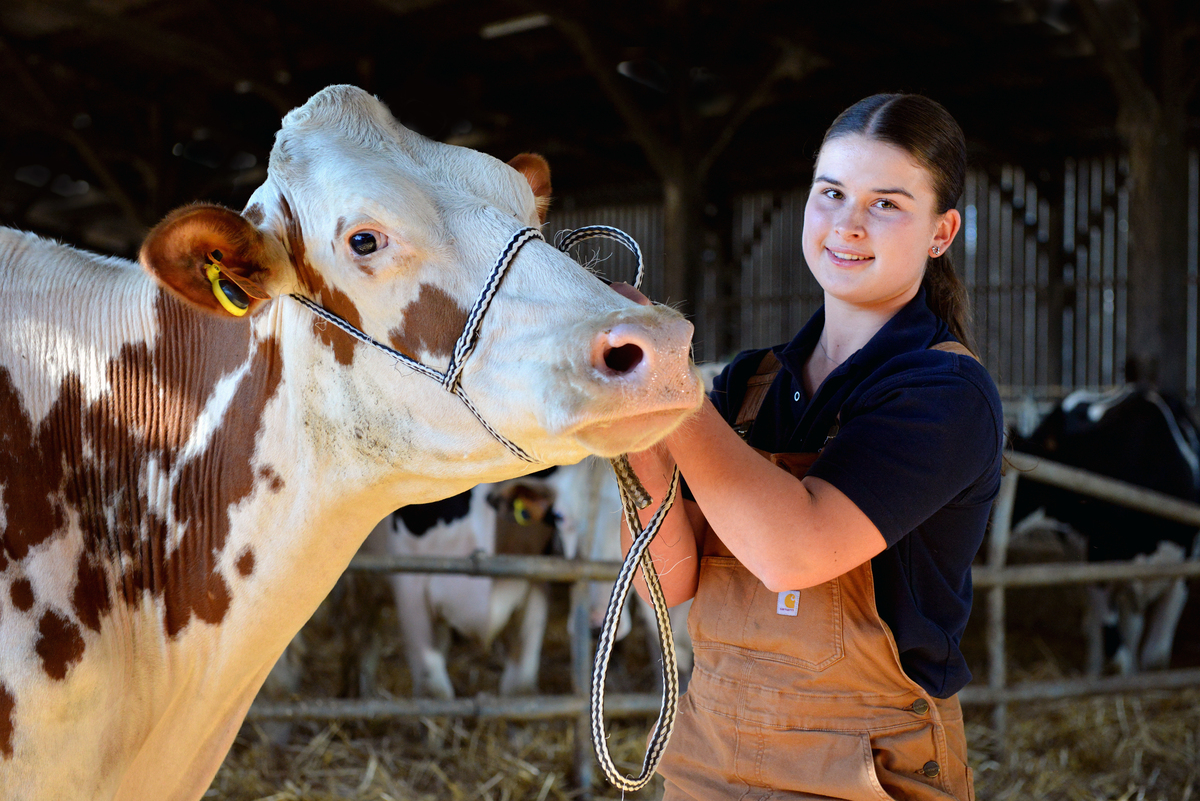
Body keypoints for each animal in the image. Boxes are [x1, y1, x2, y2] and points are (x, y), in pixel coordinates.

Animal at [1010, 384, 1200, 676]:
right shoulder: (1098, 561)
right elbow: (1116, 652)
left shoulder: (1182, 572)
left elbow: (1155, 657)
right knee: (1097, 627)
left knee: (1131, 626)